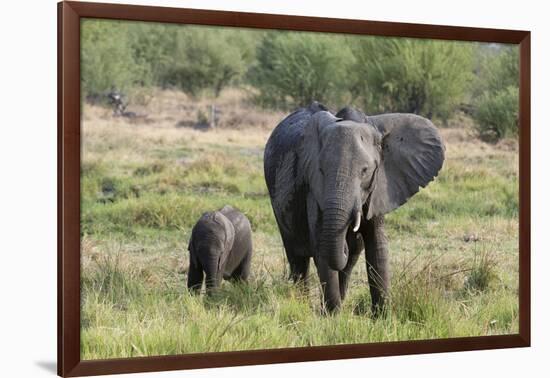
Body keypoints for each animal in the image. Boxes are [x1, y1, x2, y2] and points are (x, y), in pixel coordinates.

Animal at [266, 102, 446, 314]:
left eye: (365, 171)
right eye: (321, 170)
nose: (347, 233)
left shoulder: (379, 186)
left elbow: (377, 246)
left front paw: (382, 317)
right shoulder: (314, 189)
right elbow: (321, 245)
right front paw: (333, 316)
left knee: (348, 262)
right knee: (297, 257)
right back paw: (302, 302)